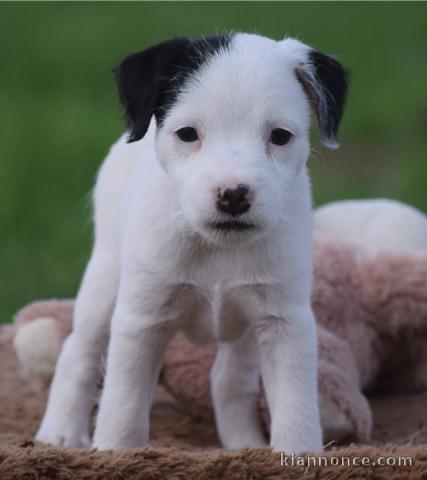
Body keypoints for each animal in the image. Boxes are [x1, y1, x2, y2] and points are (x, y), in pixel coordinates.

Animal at [35, 32, 350, 454]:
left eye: (280, 137)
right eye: (187, 133)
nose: (233, 195)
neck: (214, 246)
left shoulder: (284, 322)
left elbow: (295, 409)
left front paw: (297, 455)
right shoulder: (141, 320)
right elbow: (124, 407)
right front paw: (116, 453)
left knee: (228, 379)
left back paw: (243, 443)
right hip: (104, 278)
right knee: (79, 349)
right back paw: (60, 432)